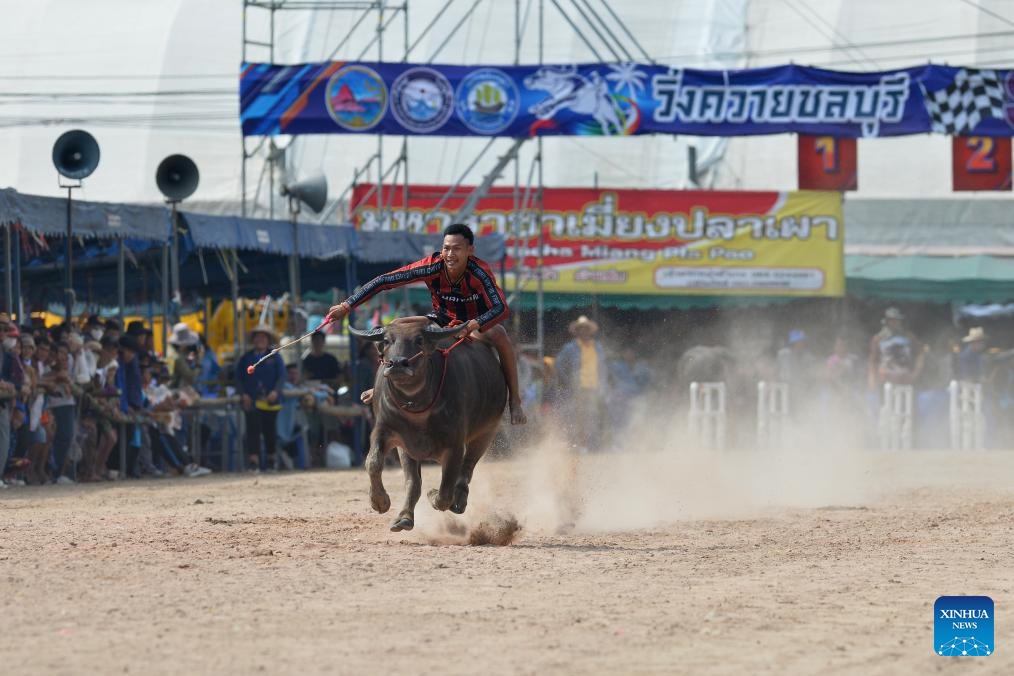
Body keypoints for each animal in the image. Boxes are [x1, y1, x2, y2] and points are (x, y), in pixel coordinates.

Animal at [348, 318, 507, 535]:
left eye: (419, 340)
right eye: (387, 340)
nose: (398, 364)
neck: (416, 406)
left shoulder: (455, 445)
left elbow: (445, 493)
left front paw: (433, 494)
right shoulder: (385, 430)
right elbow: (373, 462)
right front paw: (380, 501)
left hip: (486, 432)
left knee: (466, 470)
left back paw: (459, 500)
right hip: (407, 449)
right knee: (413, 482)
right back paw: (404, 518)